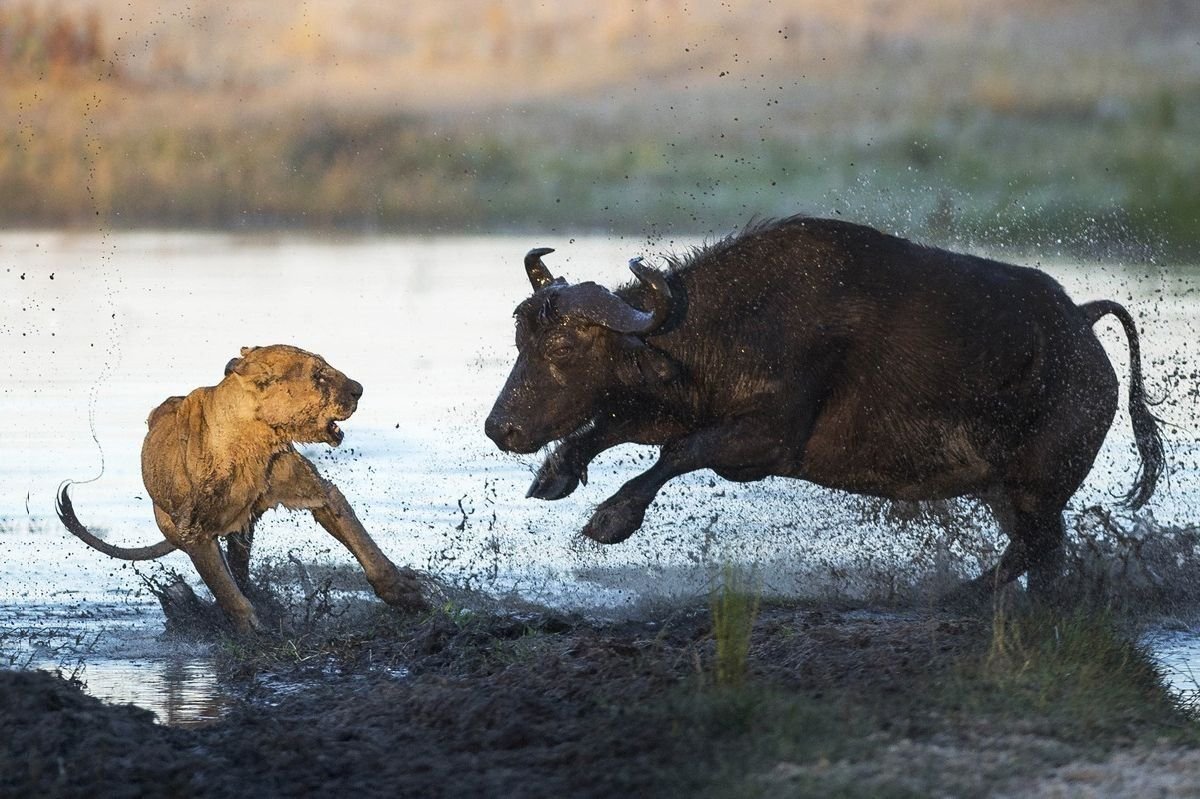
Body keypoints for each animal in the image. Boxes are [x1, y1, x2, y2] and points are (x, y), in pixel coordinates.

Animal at [484, 215, 1161, 590]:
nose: (501, 428)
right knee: (1042, 553)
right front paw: (555, 473)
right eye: (521, 338)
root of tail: (1081, 323)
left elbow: (677, 452)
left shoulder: (765, 442)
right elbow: (614, 424)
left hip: (1037, 486)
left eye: (565, 346)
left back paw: (958, 598)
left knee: (1036, 550)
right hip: (1009, 491)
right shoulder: (681, 406)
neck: (742, 322)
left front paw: (611, 518)